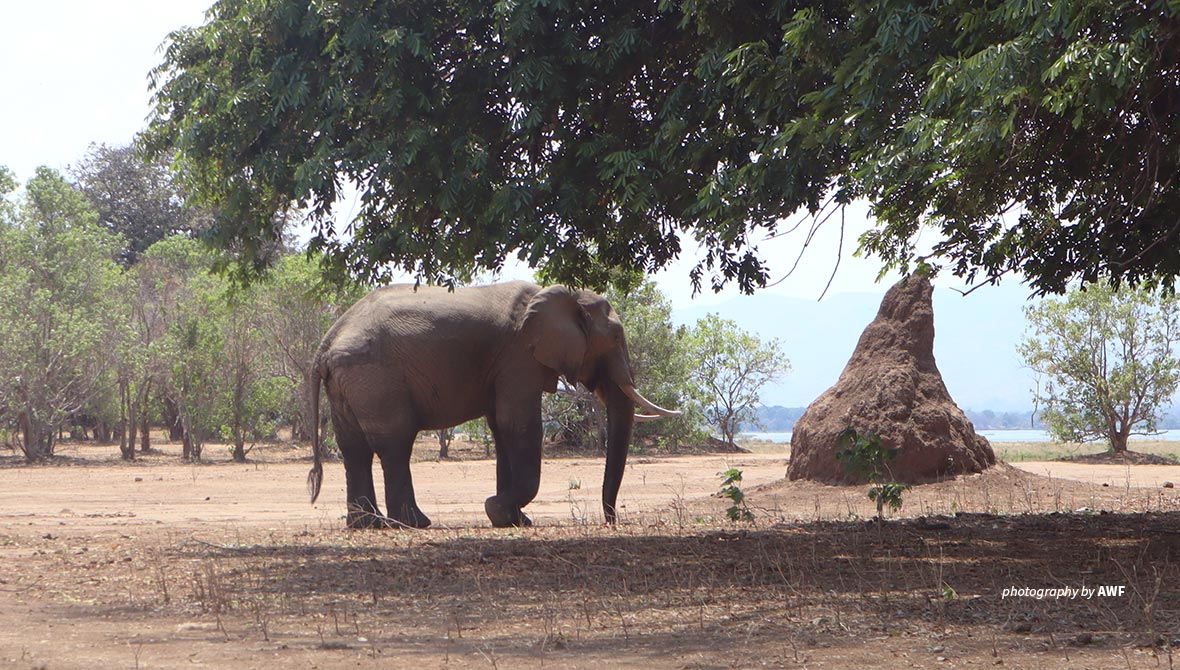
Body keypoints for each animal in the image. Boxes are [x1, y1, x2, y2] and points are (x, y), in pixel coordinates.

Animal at [306, 280, 679, 528]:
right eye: (615, 337)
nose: (611, 521)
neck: (564, 294)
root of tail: (327, 342)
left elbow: (501, 429)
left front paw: (515, 520)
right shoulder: (519, 357)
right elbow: (519, 424)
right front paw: (497, 510)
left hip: (348, 381)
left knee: (354, 449)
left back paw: (367, 525)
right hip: (376, 377)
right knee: (394, 443)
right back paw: (415, 523)